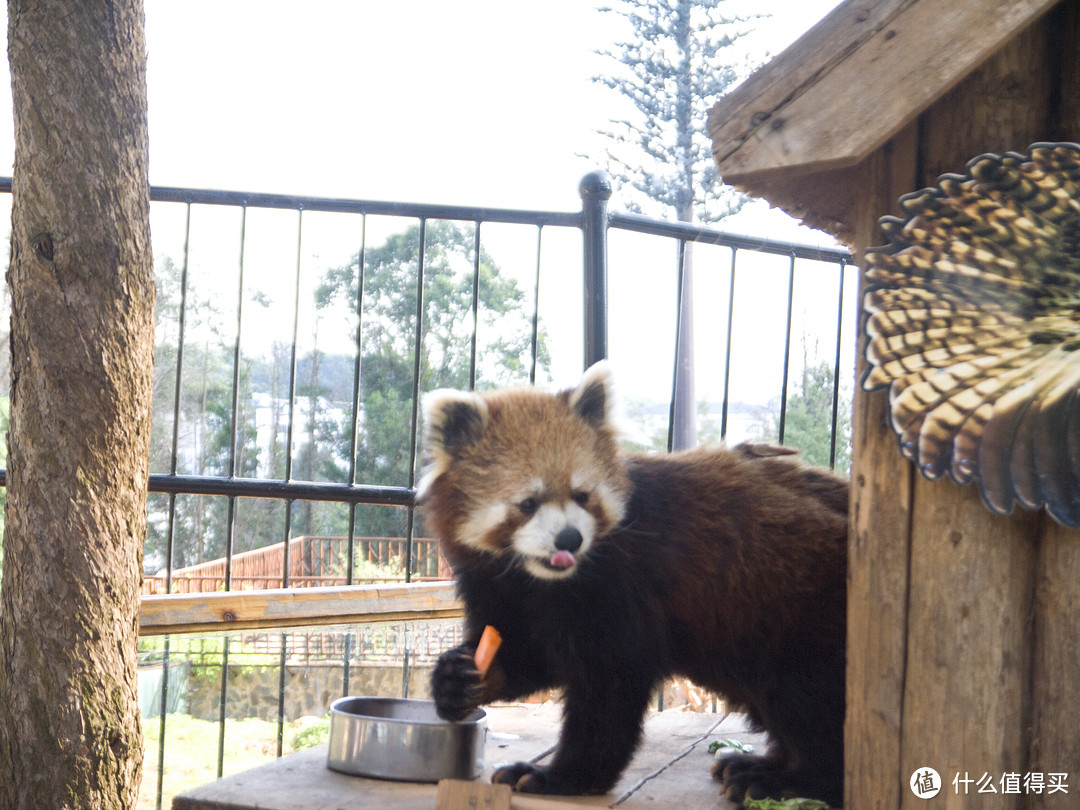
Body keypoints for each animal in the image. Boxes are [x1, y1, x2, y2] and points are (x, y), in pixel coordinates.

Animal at [416, 365, 846, 807]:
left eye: (582, 495)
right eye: (528, 504)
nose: (570, 539)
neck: (539, 580)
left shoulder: (619, 584)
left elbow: (610, 684)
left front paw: (561, 776)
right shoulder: (495, 585)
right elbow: (523, 652)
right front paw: (457, 680)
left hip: (804, 614)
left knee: (809, 701)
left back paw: (787, 780)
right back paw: (759, 763)